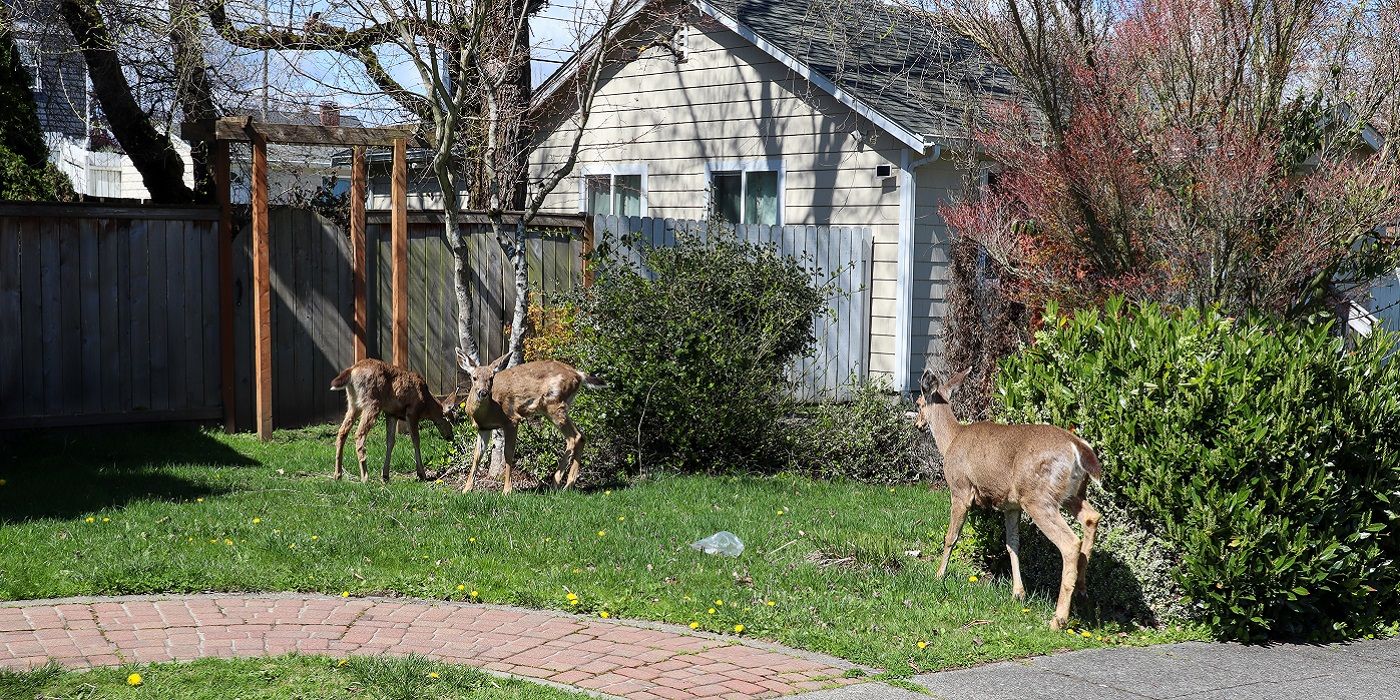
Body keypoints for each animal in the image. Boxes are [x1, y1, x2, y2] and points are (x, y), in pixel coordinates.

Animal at [454, 350, 605, 495]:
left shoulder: (512, 419)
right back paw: (565, 485)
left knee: (574, 437)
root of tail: (578, 375)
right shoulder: (484, 428)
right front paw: (466, 489)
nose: (483, 392)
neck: (491, 410)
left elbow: (508, 452)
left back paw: (559, 484)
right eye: (474, 377)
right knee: (581, 436)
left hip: (554, 404)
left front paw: (507, 490)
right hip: (555, 407)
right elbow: (477, 455)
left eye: (491, 378)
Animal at [912, 367, 1102, 630]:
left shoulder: (960, 489)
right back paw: (1082, 592)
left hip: (1037, 497)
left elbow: (951, 537)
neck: (951, 440)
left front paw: (939, 575)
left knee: (1071, 543)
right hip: (1071, 494)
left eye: (919, 403)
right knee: (1092, 517)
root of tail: (1077, 446)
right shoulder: (1011, 505)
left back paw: (1058, 619)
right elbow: (1012, 544)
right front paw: (1018, 593)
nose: (917, 423)